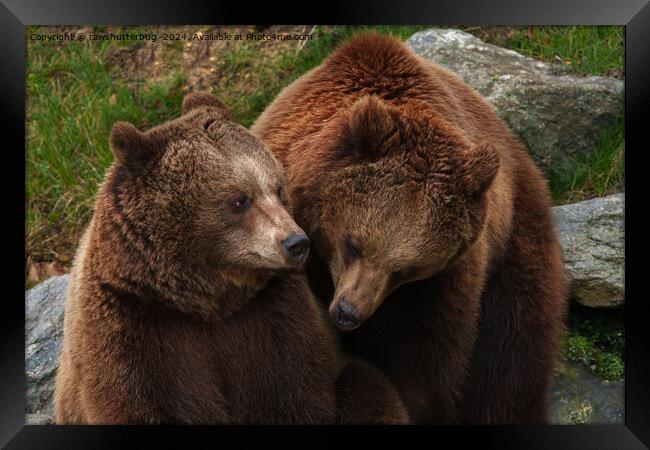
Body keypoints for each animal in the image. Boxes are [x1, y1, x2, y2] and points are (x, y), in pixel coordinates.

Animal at [53, 92, 404, 426]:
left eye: (278, 188)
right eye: (239, 200)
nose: (297, 243)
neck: (209, 300)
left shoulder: (274, 314)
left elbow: (293, 391)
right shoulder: (133, 328)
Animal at [252, 33, 568, 424]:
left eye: (406, 270)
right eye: (354, 244)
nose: (348, 312)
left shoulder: (439, 286)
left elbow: (426, 364)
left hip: (515, 246)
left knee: (513, 351)